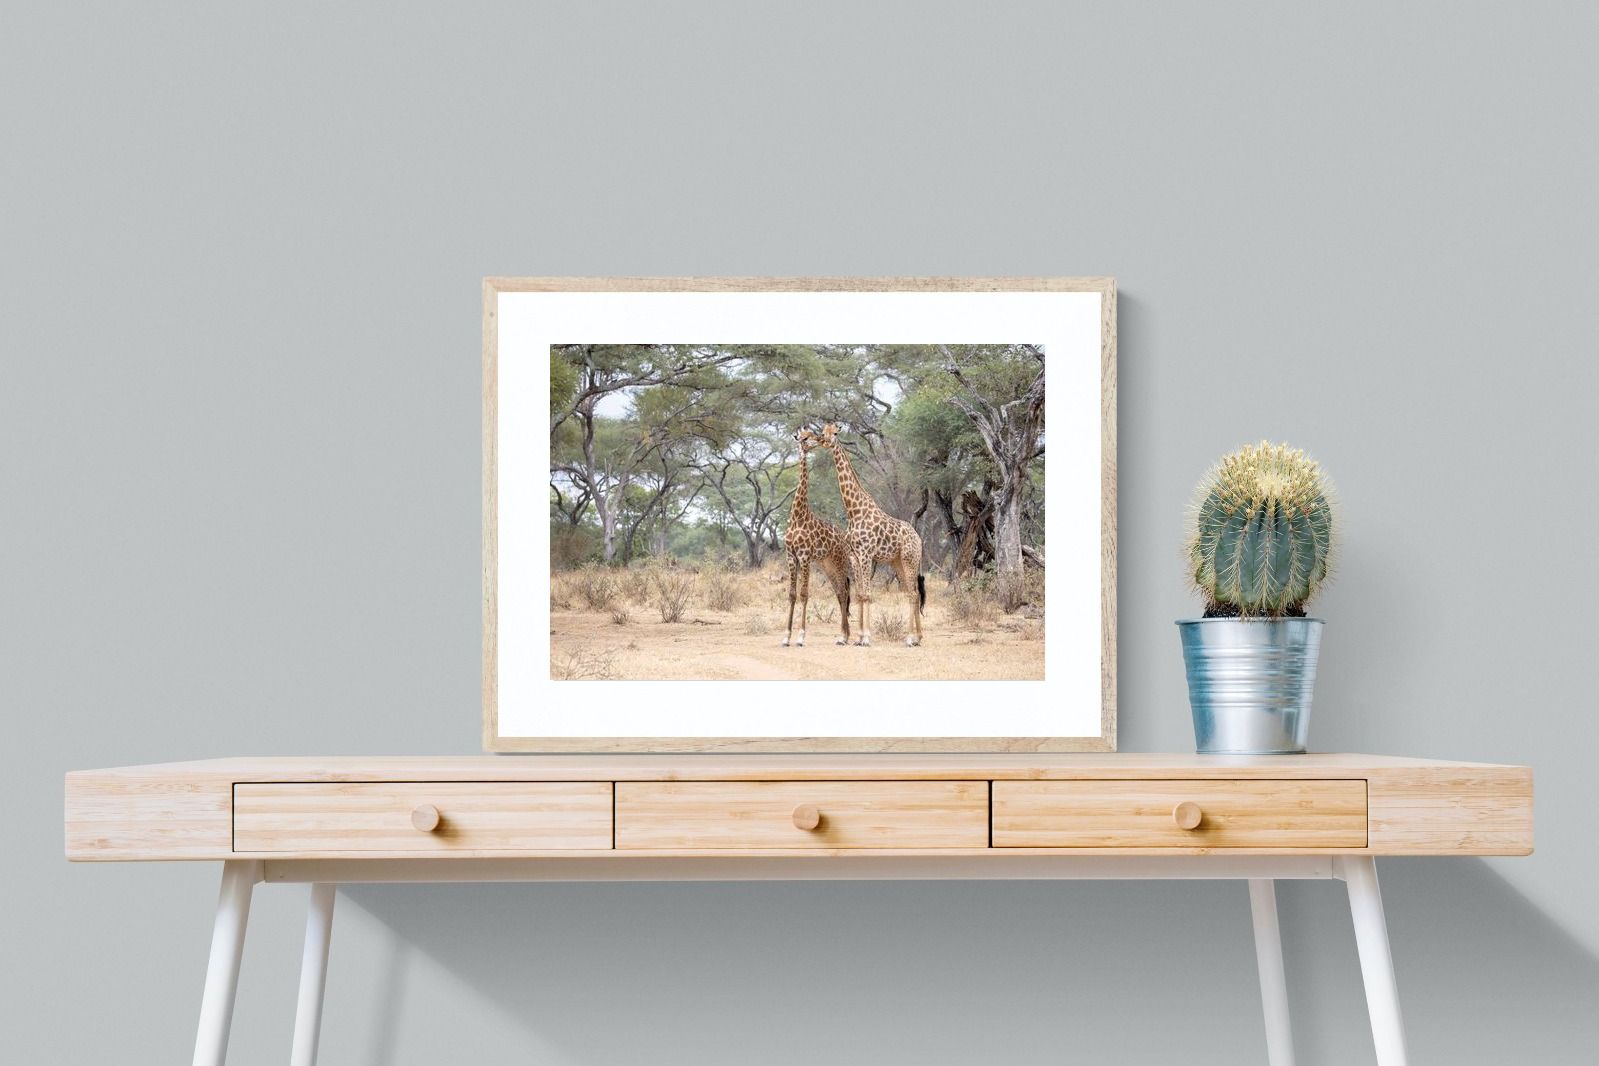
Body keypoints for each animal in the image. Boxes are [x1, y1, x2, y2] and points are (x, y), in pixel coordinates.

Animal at [779, 429, 852, 648]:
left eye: (811, 434)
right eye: (803, 437)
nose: (818, 440)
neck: (798, 516)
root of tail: (845, 538)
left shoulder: (804, 556)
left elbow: (804, 594)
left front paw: (801, 637)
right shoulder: (791, 556)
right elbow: (792, 594)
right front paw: (786, 637)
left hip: (840, 562)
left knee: (844, 592)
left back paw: (843, 637)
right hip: (826, 564)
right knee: (839, 592)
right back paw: (845, 635)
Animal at [816, 423, 925, 647]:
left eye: (835, 432)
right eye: (823, 431)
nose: (824, 440)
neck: (853, 510)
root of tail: (919, 539)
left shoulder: (866, 554)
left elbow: (867, 594)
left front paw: (866, 638)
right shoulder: (854, 556)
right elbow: (860, 594)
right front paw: (858, 637)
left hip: (910, 559)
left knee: (912, 594)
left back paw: (910, 639)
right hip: (897, 562)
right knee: (914, 593)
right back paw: (917, 637)